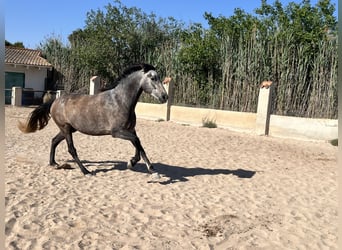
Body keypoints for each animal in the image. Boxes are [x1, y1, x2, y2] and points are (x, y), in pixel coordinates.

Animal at [18, 63, 168, 176]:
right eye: (153, 78)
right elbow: (137, 141)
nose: (164, 97)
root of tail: (55, 101)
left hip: (69, 129)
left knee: (54, 140)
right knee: (71, 149)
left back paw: (53, 163)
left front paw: (148, 168)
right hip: (65, 129)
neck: (120, 100)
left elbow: (139, 145)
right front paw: (134, 163)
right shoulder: (117, 132)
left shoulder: (131, 129)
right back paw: (86, 171)